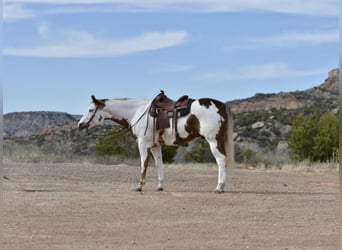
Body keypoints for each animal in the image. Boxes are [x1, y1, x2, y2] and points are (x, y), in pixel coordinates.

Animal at [78, 92, 234, 193]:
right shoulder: (156, 146)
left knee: (221, 161)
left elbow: (144, 164)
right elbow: (159, 164)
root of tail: (221, 105)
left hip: (213, 141)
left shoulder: (143, 144)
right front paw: (160, 186)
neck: (136, 112)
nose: (80, 125)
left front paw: (139, 186)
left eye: (90, 110)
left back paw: (219, 187)